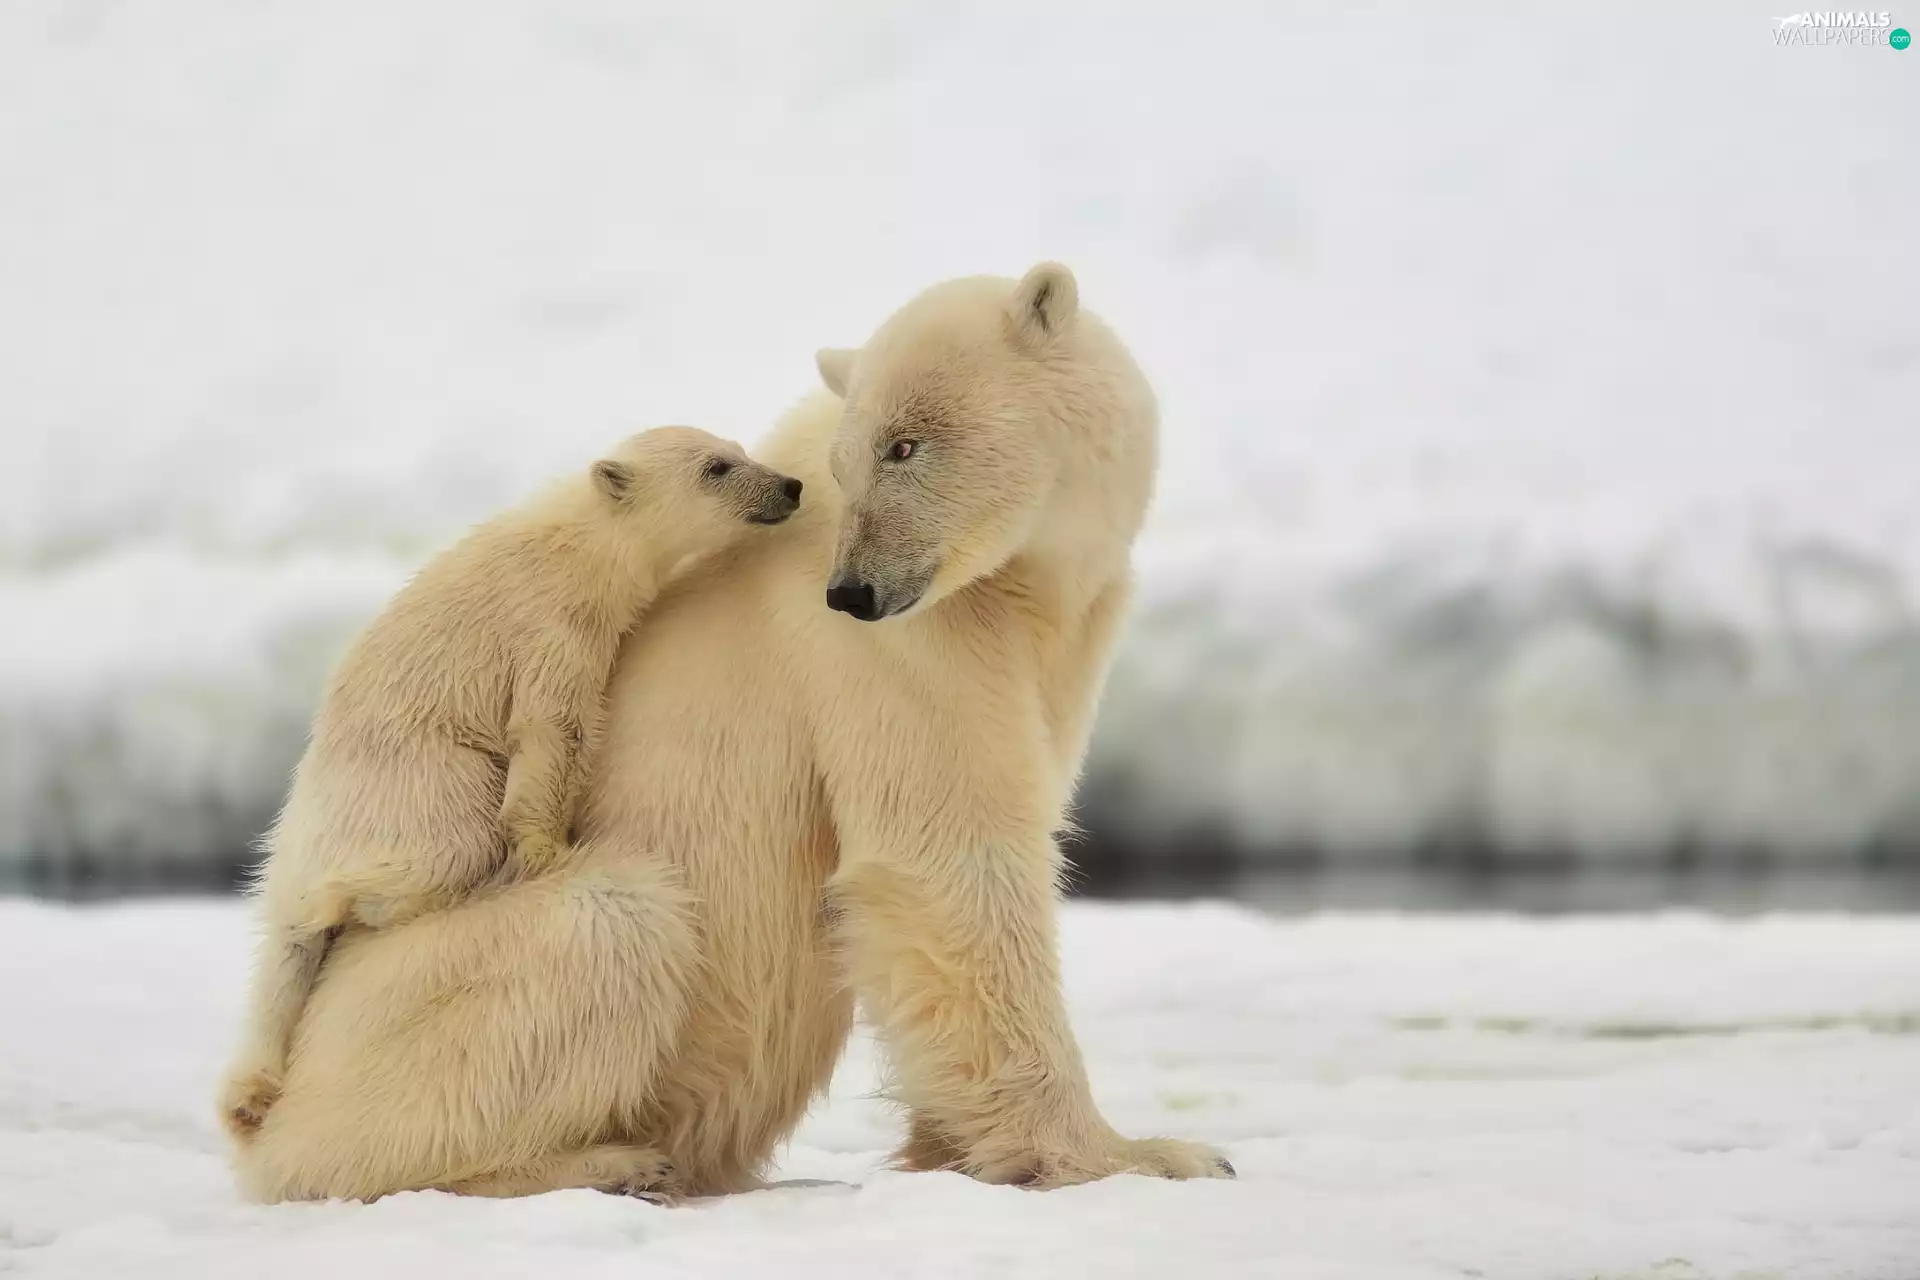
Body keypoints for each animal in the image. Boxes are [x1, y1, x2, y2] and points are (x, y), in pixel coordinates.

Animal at [218, 426, 803, 1141]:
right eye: (716, 468)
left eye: (740, 449)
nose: (790, 486)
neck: (580, 543)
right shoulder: (550, 628)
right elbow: (552, 727)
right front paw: (547, 849)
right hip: (416, 782)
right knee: (440, 847)